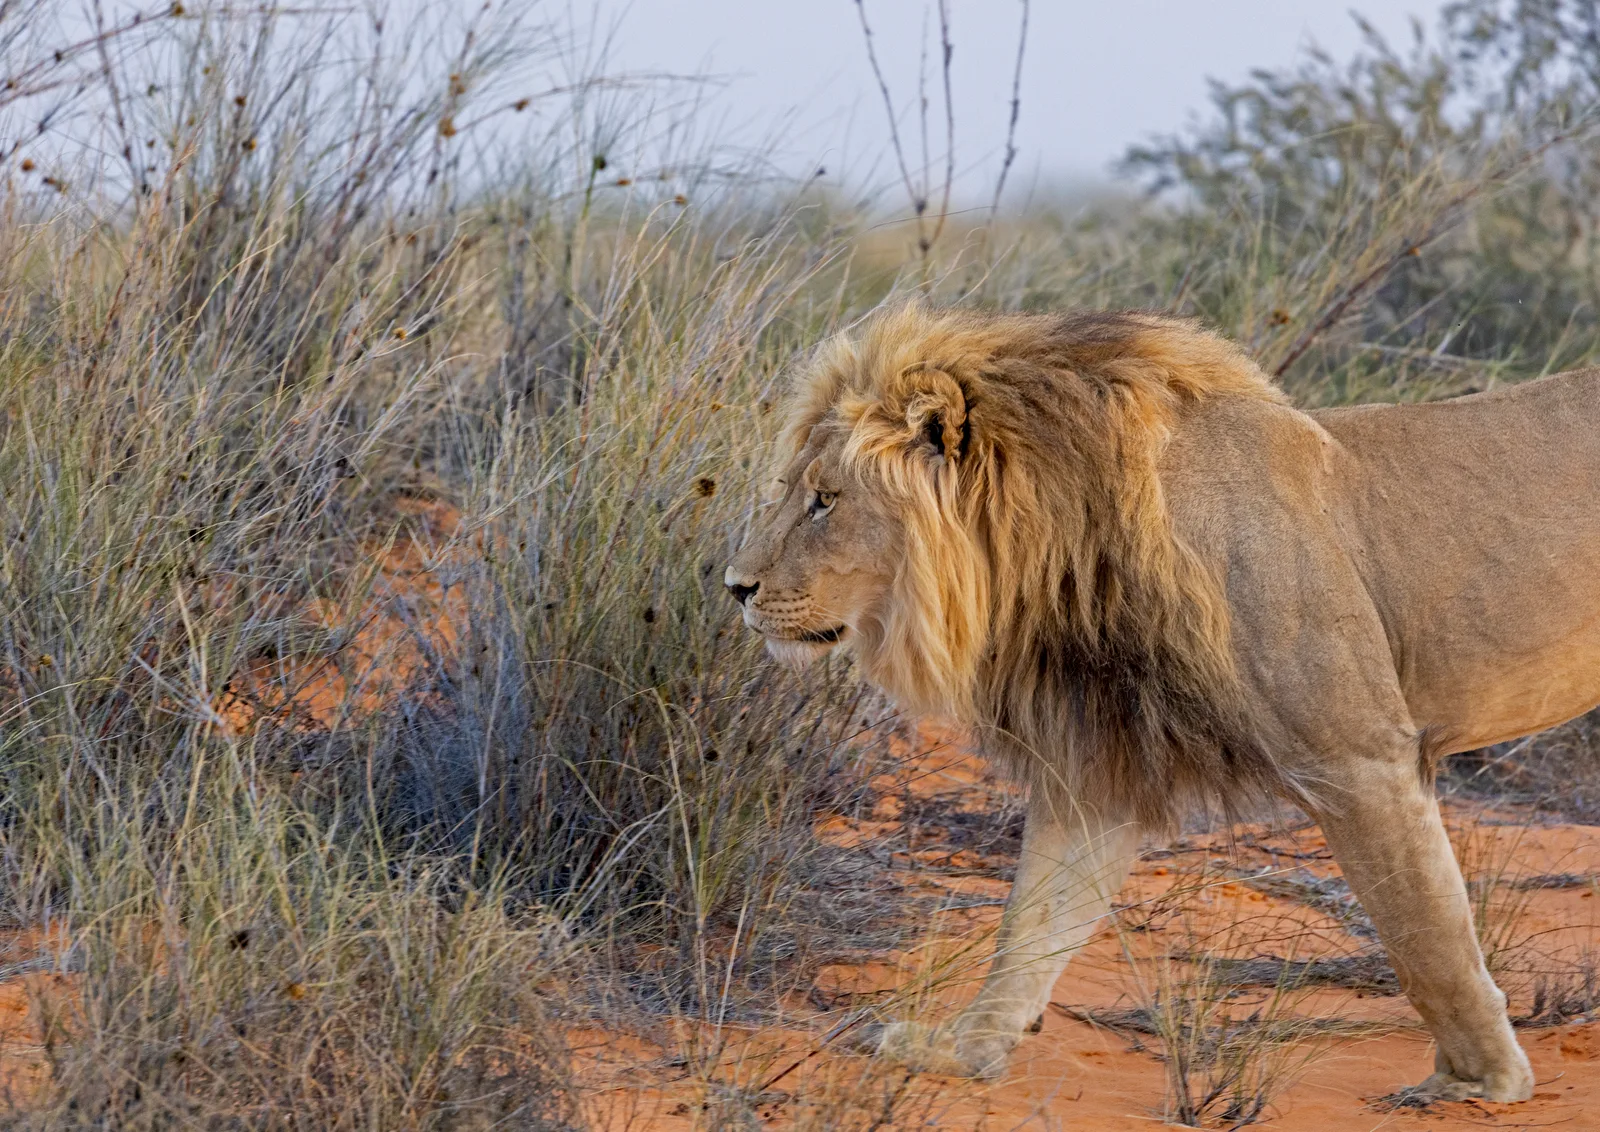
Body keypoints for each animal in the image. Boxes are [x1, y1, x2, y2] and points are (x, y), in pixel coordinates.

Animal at [724, 303, 1600, 1103]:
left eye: (825, 499)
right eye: (798, 492)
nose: (735, 586)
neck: (1060, 552)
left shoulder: (1359, 756)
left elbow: (1425, 932)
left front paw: (1480, 1080)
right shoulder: (1099, 765)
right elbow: (1032, 924)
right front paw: (961, 1051)